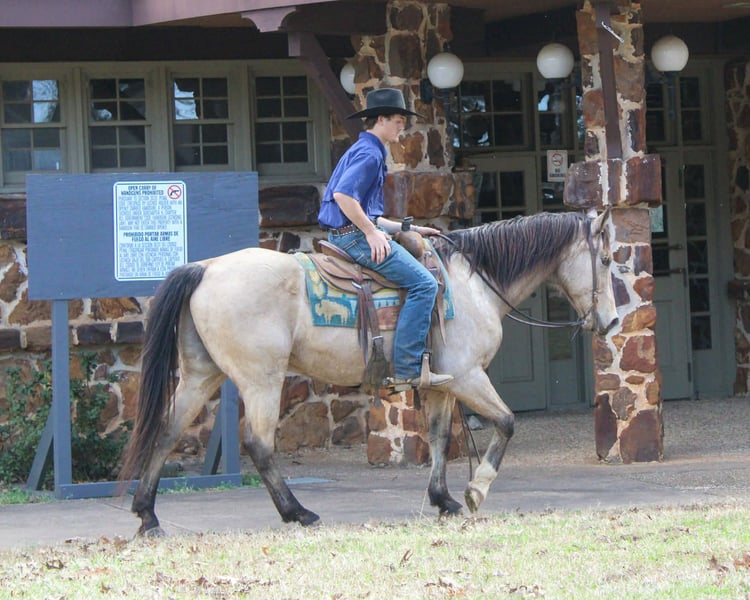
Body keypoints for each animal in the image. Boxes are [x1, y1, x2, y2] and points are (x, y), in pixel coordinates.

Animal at [120, 208, 619, 535]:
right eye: (608, 260)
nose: (612, 322)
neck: (472, 284)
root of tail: (204, 269)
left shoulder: (441, 385)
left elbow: (439, 438)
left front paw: (443, 500)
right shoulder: (467, 377)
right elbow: (507, 422)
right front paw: (476, 490)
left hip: (201, 375)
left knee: (166, 432)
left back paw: (148, 515)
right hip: (261, 379)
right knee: (258, 444)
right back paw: (298, 512)